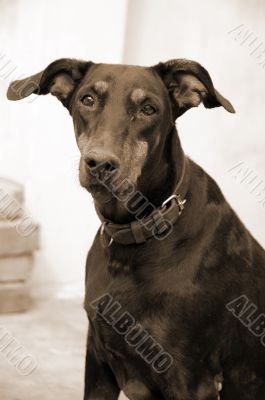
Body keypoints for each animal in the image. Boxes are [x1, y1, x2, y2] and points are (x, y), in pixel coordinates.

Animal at [6, 59, 264, 400]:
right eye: (87, 99)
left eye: (148, 109)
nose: (100, 164)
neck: (137, 234)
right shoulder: (98, 363)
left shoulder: (190, 379)